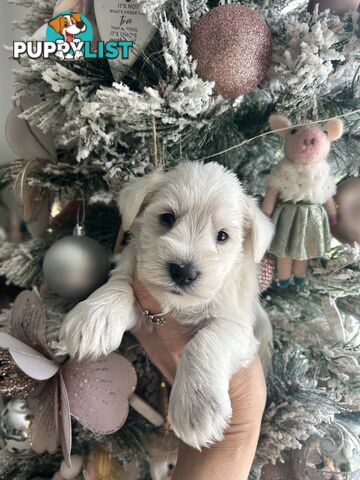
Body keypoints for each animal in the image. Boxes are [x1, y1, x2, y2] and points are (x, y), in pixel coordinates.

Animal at [60, 161, 274, 450]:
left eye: (222, 236)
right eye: (167, 218)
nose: (184, 272)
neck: (177, 307)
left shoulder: (238, 326)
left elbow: (206, 340)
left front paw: (197, 406)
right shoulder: (137, 285)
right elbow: (119, 287)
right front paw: (94, 318)